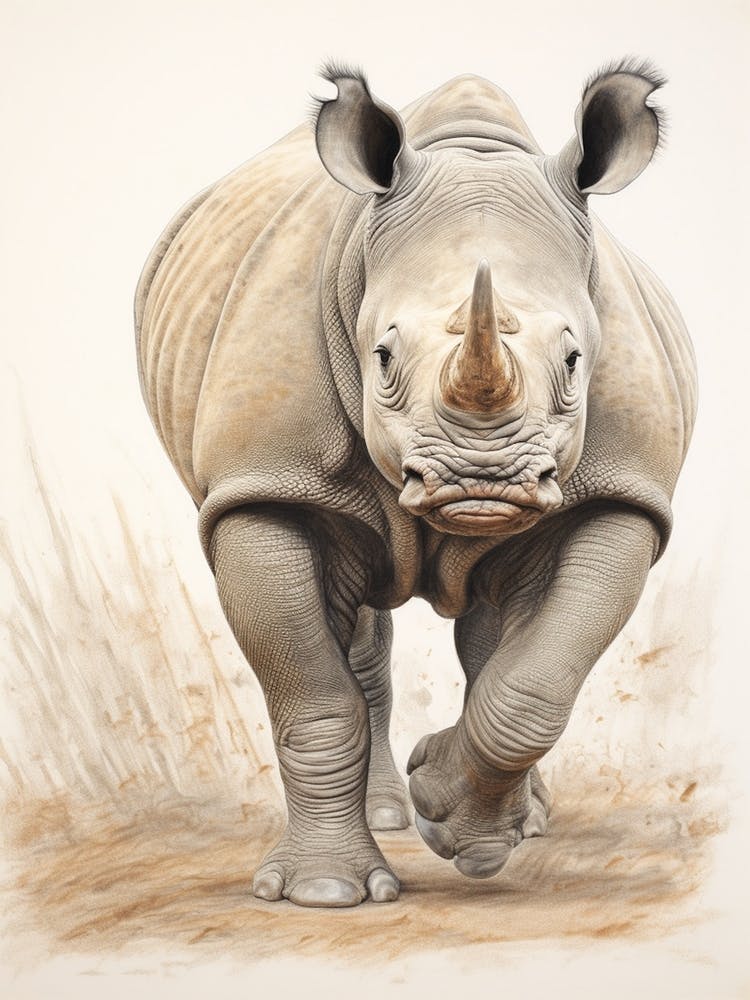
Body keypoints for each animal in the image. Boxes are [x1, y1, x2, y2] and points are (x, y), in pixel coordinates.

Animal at [135, 59, 696, 908]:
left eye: (574, 360)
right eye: (384, 357)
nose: (481, 478)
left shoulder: (620, 493)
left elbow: (537, 685)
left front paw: (458, 825)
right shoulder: (262, 484)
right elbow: (316, 698)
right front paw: (323, 894)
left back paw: (513, 824)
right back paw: (390, 824)